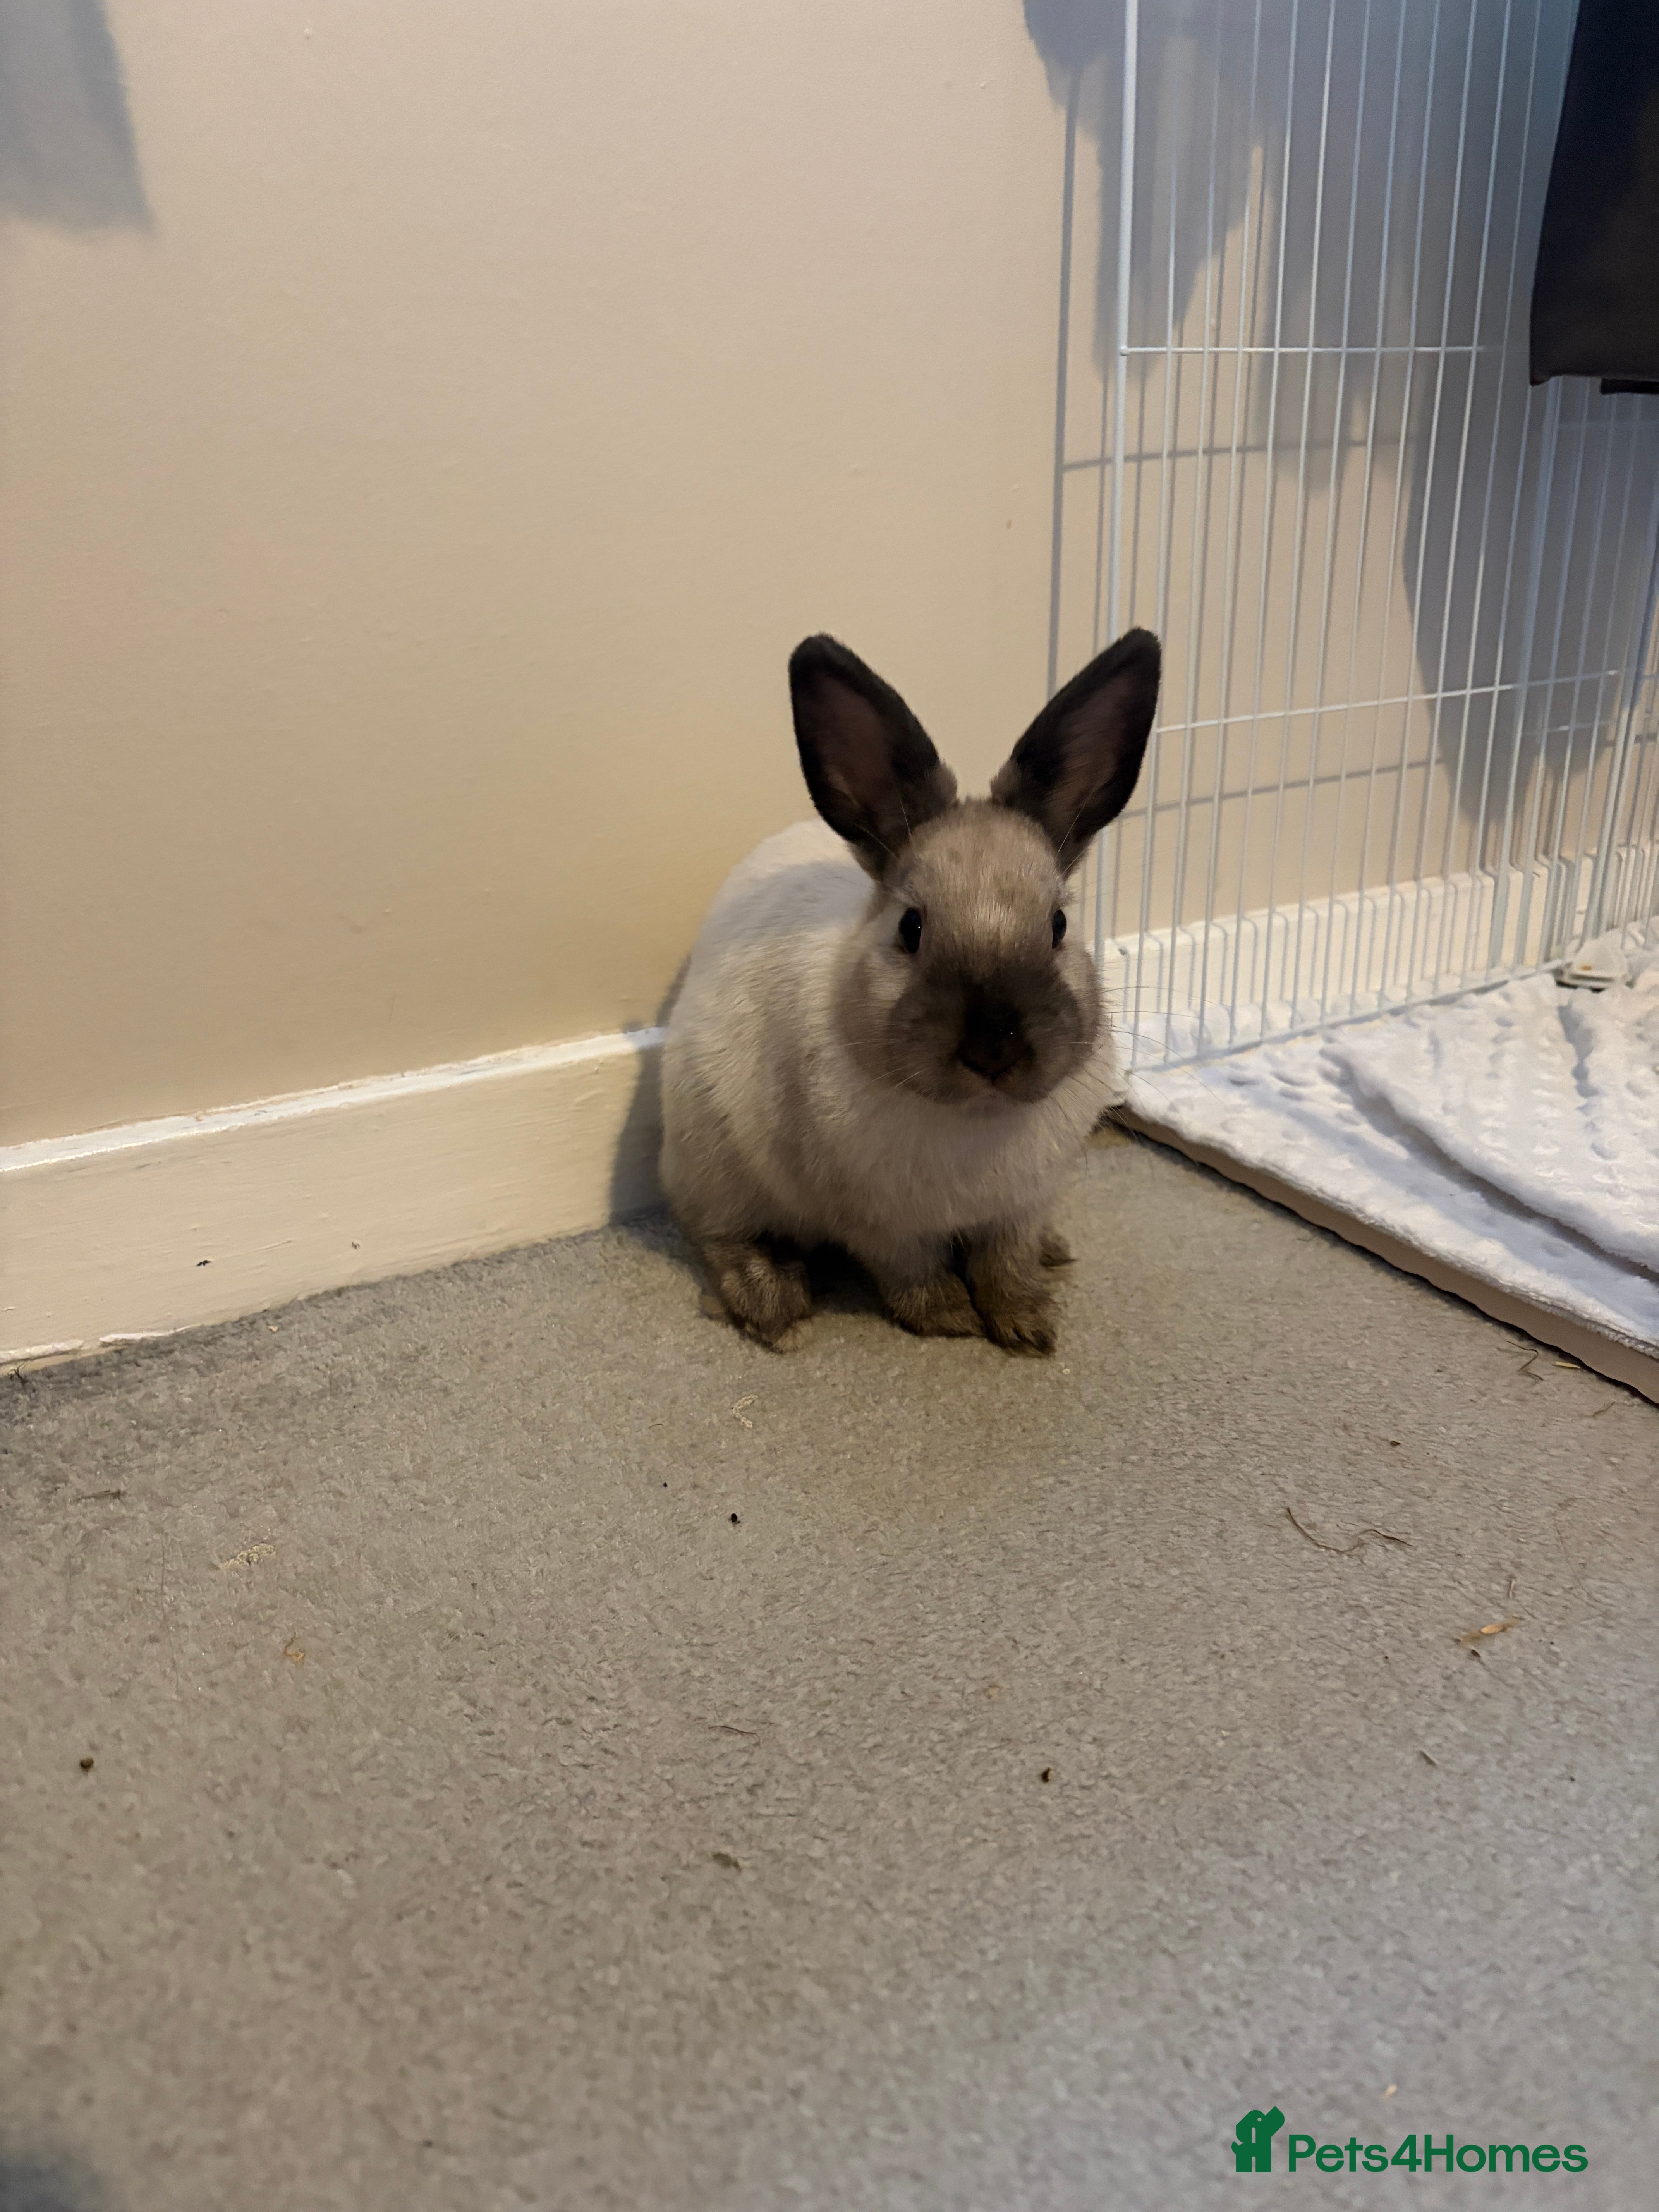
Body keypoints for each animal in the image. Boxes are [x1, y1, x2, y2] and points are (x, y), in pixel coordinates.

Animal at [660, 626, 1161, 1353]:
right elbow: (911, 1272)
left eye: (1059, 925)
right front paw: (949, 1319)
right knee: (715, 1235)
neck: (973, 1118)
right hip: (716, 1163)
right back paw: (771, 1301)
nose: (994, 1049)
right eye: (911, 926)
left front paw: (1026, 1324)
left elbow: (1005, 1262)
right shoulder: (880, 1225)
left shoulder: (1020, 1207)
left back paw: (1055, 1249)